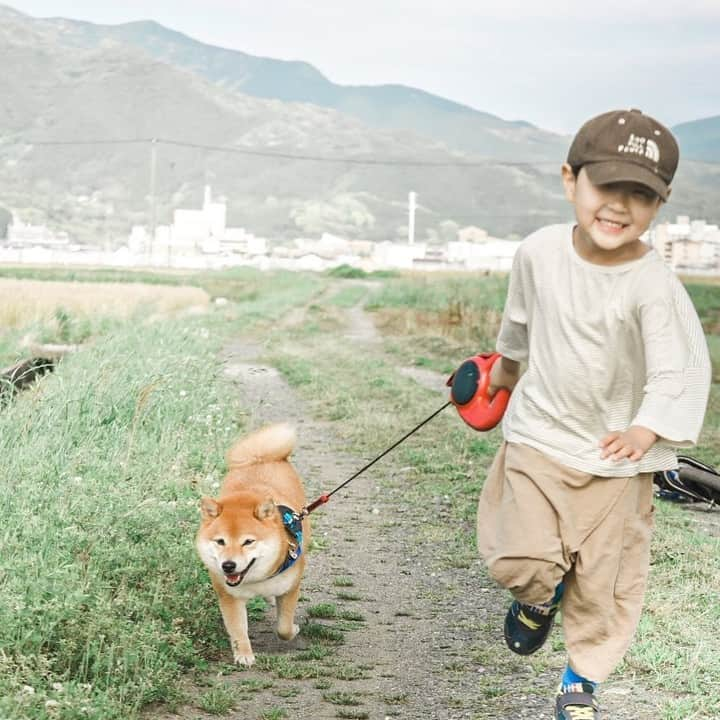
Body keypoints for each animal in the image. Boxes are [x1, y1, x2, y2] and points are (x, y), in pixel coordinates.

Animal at [197, 424, 310, 668]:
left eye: (248, 542)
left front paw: (294, 629)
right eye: (220, 541)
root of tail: (261, 458)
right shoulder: (229, 596)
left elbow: (284, 627)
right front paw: (244, 655)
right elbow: (238, 629)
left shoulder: (291, 587)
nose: (228, 565)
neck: (255, 580)